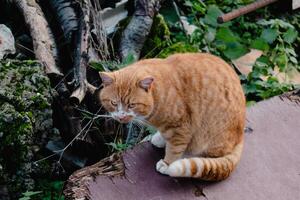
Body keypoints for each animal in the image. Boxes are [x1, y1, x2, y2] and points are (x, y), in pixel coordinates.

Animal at [99, 53, 245, 181]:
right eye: (113, 103)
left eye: (132, 105)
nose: (121, 117)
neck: (157, 94)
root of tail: (240, 137)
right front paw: (160, 138)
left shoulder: (181, 127)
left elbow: (175, 148)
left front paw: (167, 163)